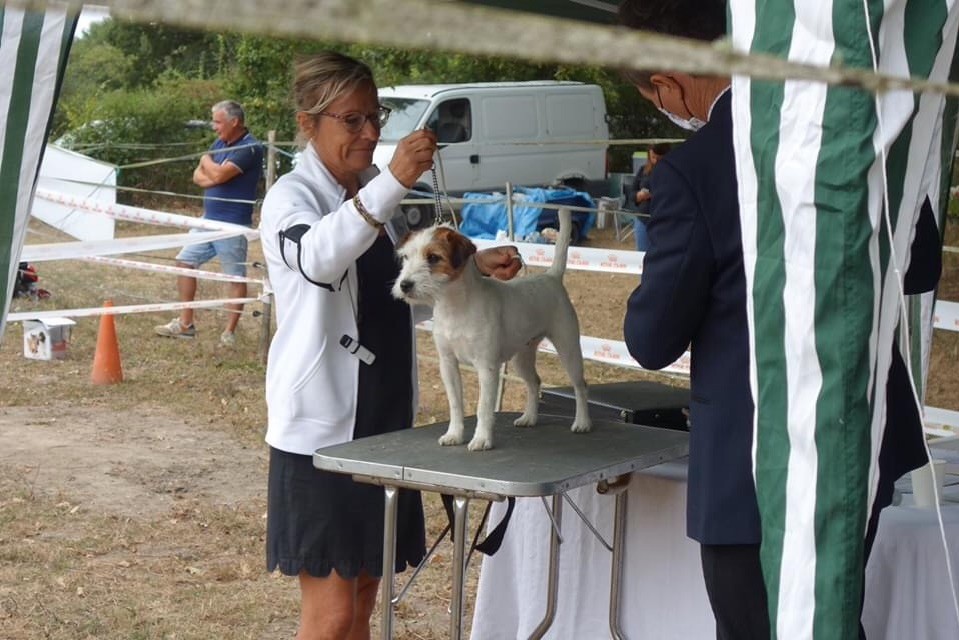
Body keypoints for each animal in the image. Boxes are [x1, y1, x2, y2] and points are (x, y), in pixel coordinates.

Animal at [392, 210, 588, 450]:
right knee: (534, 382)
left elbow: (483, 408)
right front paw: (454, 434)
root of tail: (551, 277)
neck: (456, 306)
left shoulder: (486, 368)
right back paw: (529, 418)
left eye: (433, 258)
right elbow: (455, 405)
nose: (404, 285)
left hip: (568, 348)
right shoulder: (447, 364)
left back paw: (582, 422)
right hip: (521, 358)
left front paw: (481, 439)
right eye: (405, 257)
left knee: (580, 386)